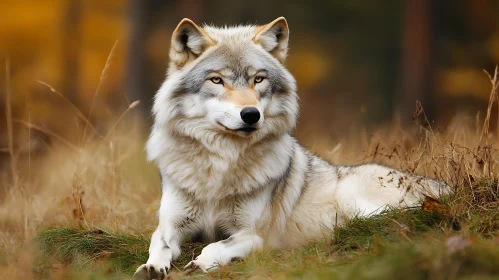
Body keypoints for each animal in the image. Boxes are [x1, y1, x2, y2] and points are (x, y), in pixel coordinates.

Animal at [133, 18, 450, 280]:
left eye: (258, 79)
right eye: (216, 80)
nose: (251, 114)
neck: (221, 165)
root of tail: (445, 186)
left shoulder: (253, 235)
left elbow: (215, 246)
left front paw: (198, 264)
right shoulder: (171, 225)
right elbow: (159, 243)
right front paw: (151, 267)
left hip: (355, 197)